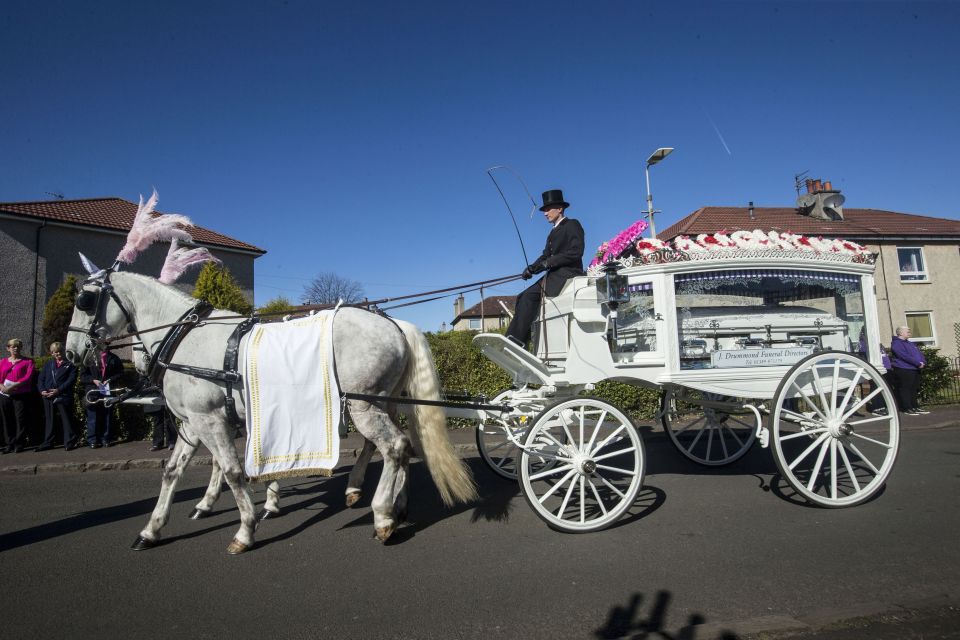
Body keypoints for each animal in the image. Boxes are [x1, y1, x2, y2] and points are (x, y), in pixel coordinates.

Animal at [63, 268, 476, 552]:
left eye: (85, 300)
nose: (70, 352)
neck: (184, 338)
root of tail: (393, 322)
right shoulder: (195, 423)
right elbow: (173, 472)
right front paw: (152, 529)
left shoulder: (210, 419)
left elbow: (232, 471)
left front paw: (245, 529)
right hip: (379, 402)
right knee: (394, 446)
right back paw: (388, 501)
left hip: (362, 403)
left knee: (395, 447)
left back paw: (382, 515)